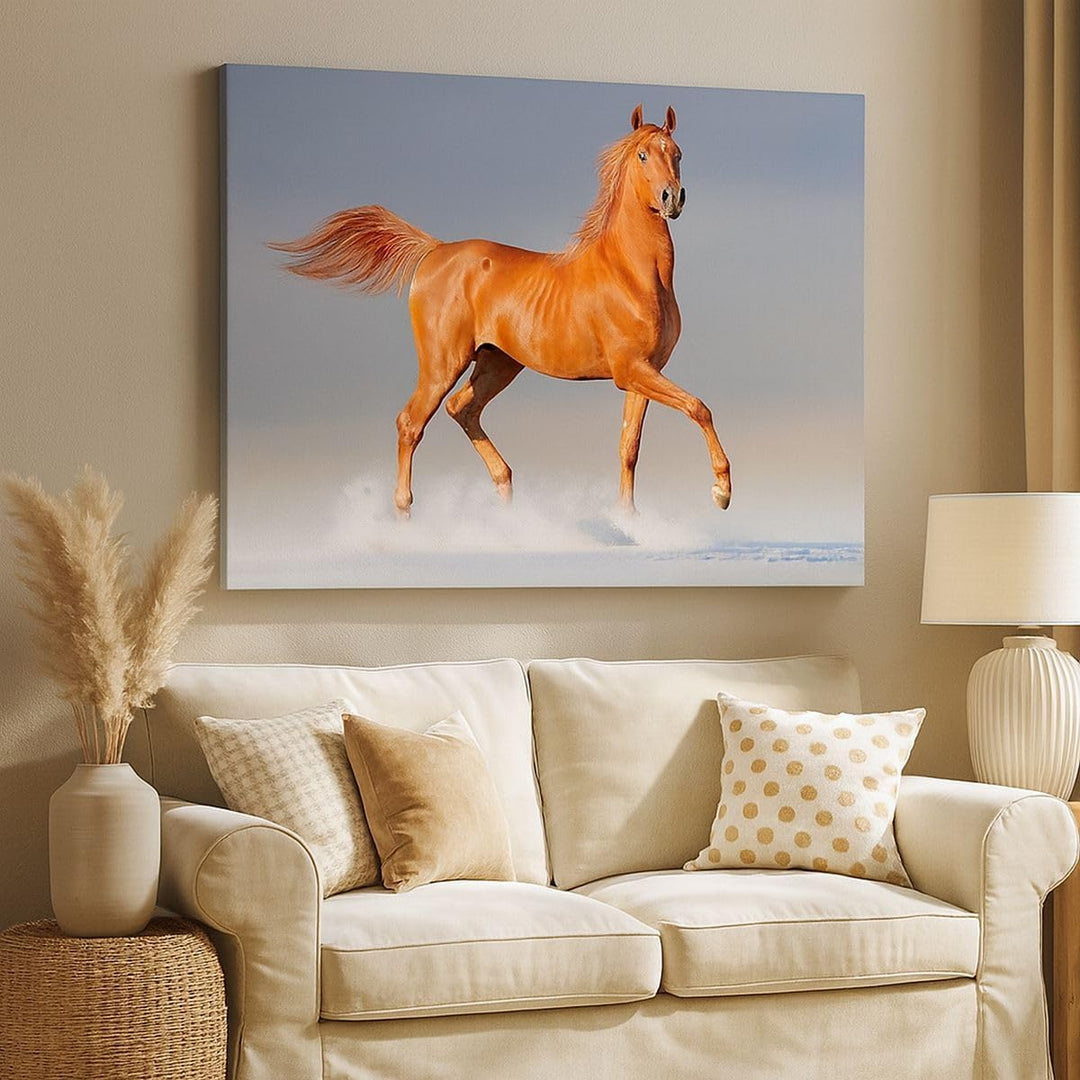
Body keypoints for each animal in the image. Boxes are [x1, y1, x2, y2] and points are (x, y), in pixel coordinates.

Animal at [271, 104, 731, 518]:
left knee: (463, 409)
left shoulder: (643, 373)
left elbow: (629, 447)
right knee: (411, 423)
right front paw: (721, 491)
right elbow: (699, 407)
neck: (632, 273)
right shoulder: (630, 370)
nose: (672, 198)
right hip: (443, 363)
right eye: (642, 155)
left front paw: (628, 518)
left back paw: (506, 497)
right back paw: (405, 514)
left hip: (497, 363)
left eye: (678, 153)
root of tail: (435, 251)